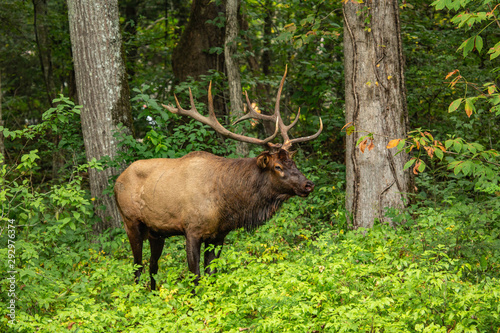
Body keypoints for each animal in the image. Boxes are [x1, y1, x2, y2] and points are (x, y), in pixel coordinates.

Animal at [114, 69, 322, 288]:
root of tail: (117, 180)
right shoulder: (192, 230)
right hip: (131, 222)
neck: (227, 203)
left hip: (156, 231)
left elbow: (211, 275)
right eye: (278, 166)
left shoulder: (219, 235)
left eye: (293, 162)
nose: (308, 184)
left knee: (153, 266)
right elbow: (195, 276)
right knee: (137, 267)